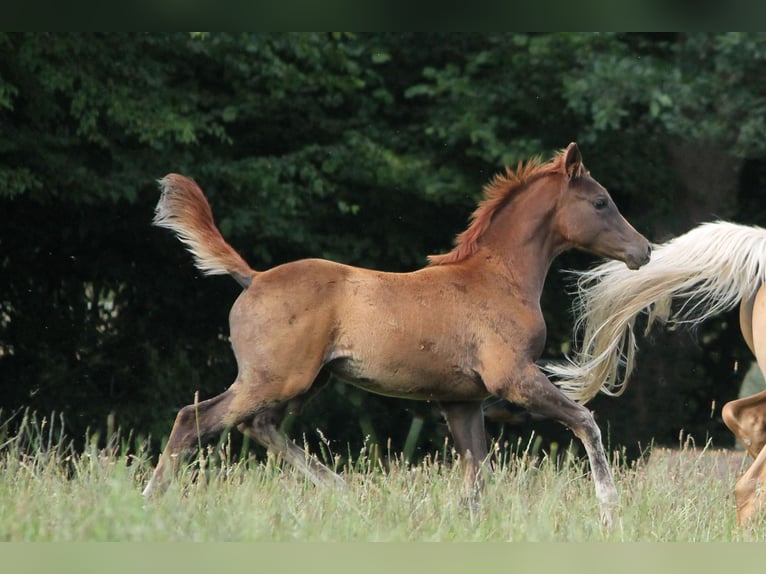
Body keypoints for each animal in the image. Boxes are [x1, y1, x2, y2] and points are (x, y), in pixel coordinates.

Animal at [141, 143, 652, 528]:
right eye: (600, 202)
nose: (643, 250)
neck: (499, 278)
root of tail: (254, 277)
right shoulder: (514, 379)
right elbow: (585, 421)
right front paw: (610, 511)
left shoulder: (462, 400)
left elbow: (477, 477)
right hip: (275, 378)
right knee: (194, 419)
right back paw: (148, 498)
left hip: (307, 380)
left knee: (258, 425)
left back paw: (342, 489)